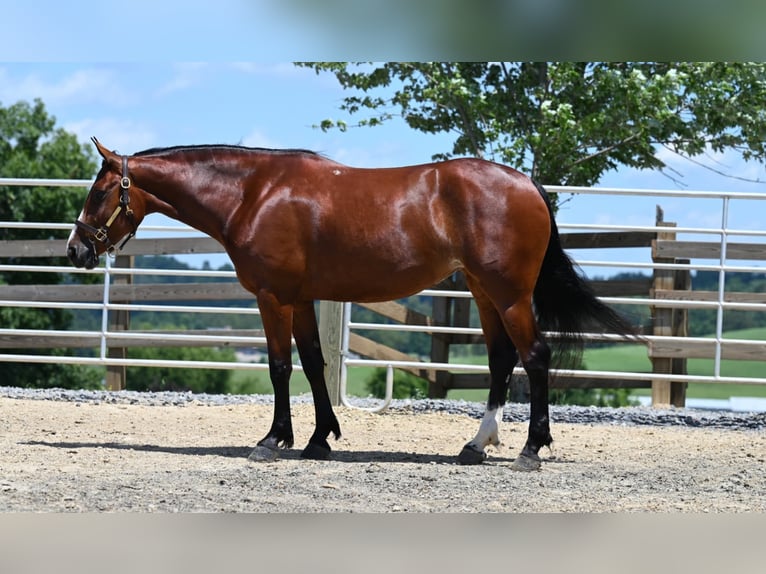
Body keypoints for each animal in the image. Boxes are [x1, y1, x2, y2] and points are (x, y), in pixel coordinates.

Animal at [67, 140, 636, 472]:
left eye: (98, 193)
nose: (75, 250)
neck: (254, 193)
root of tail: (527, 185)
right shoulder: (300, 299)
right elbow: (314, 363)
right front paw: (320, 438)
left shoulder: (273, 298)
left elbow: (279, 367)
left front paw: (273, 440)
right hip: (482, 291)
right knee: (501, 361)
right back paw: (475, 447)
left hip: (510, 294)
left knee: (535, 358)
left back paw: (530, 450)